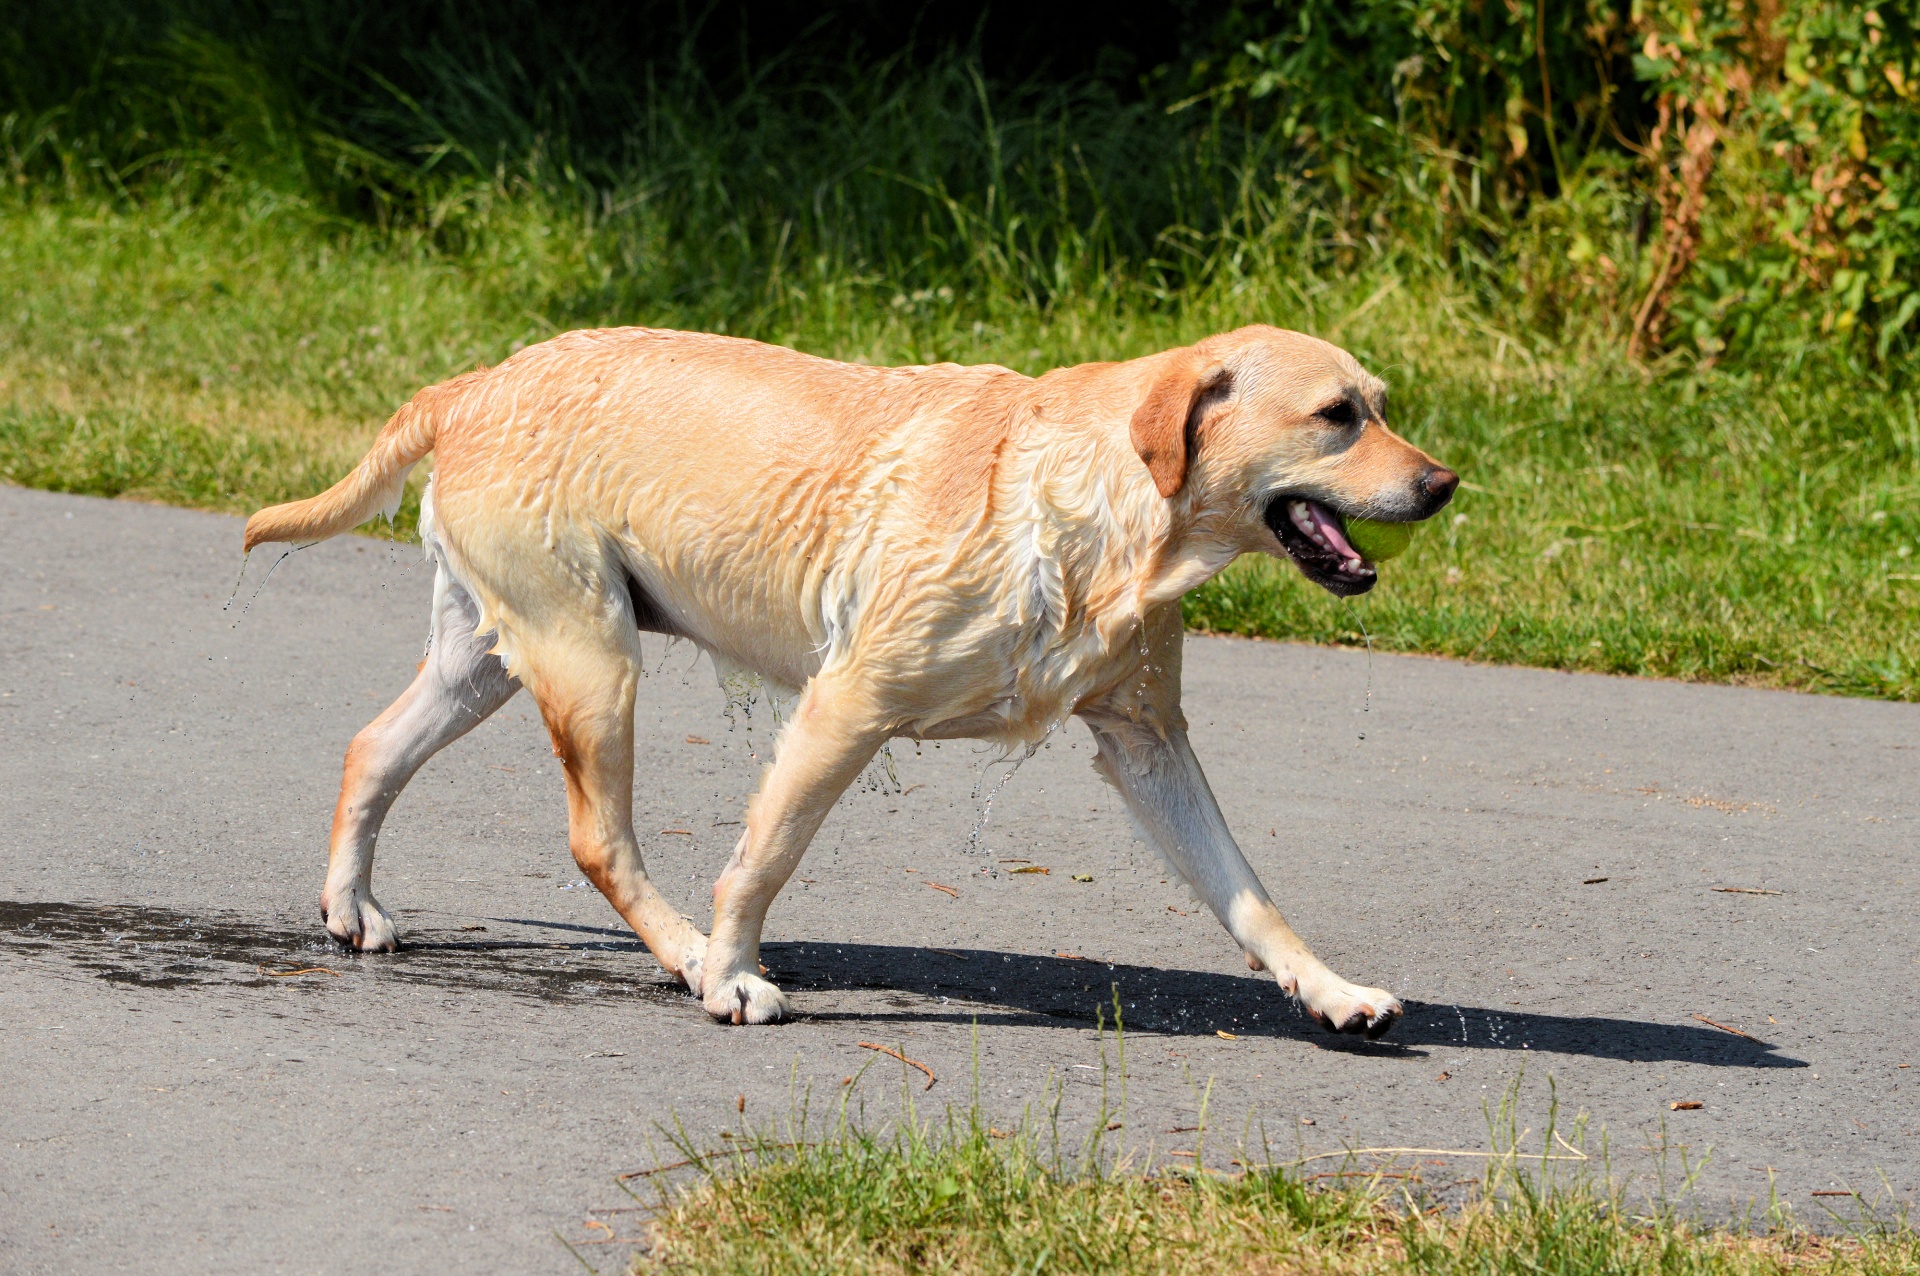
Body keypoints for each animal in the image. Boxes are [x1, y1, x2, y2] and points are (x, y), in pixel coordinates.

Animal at [247, 320, 1459, 1036]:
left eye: (1382, 402)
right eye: (1337, 415)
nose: (1447, 484)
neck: (1103, 504)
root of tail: (477, 380)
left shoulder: (1149, 743)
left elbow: (1248, 893)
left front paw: (1331, 990)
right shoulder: (848, 706)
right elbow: (762, 860)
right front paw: (732, 973)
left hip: (492, 660)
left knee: (371, 746)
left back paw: (350, 906)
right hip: (591, 660)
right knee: (599, 840)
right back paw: (686, 954)